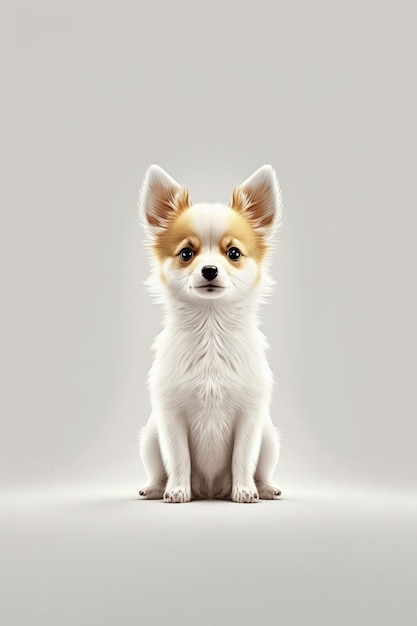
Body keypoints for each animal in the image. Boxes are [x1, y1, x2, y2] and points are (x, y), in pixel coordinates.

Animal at [138, 163, 282, 500]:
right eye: (186, 254)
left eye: (234, 253)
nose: (210, 270)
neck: (211, 328)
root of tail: (211, 490)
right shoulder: (171, 416)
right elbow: (179, 458)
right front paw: (178, 491)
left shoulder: (250, 416)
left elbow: (243, 457)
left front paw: (244, 491)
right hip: (150, 437)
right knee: (159, 469)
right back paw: (155, 488)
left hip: (269, 437)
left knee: (261, 468)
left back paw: (265, 488)